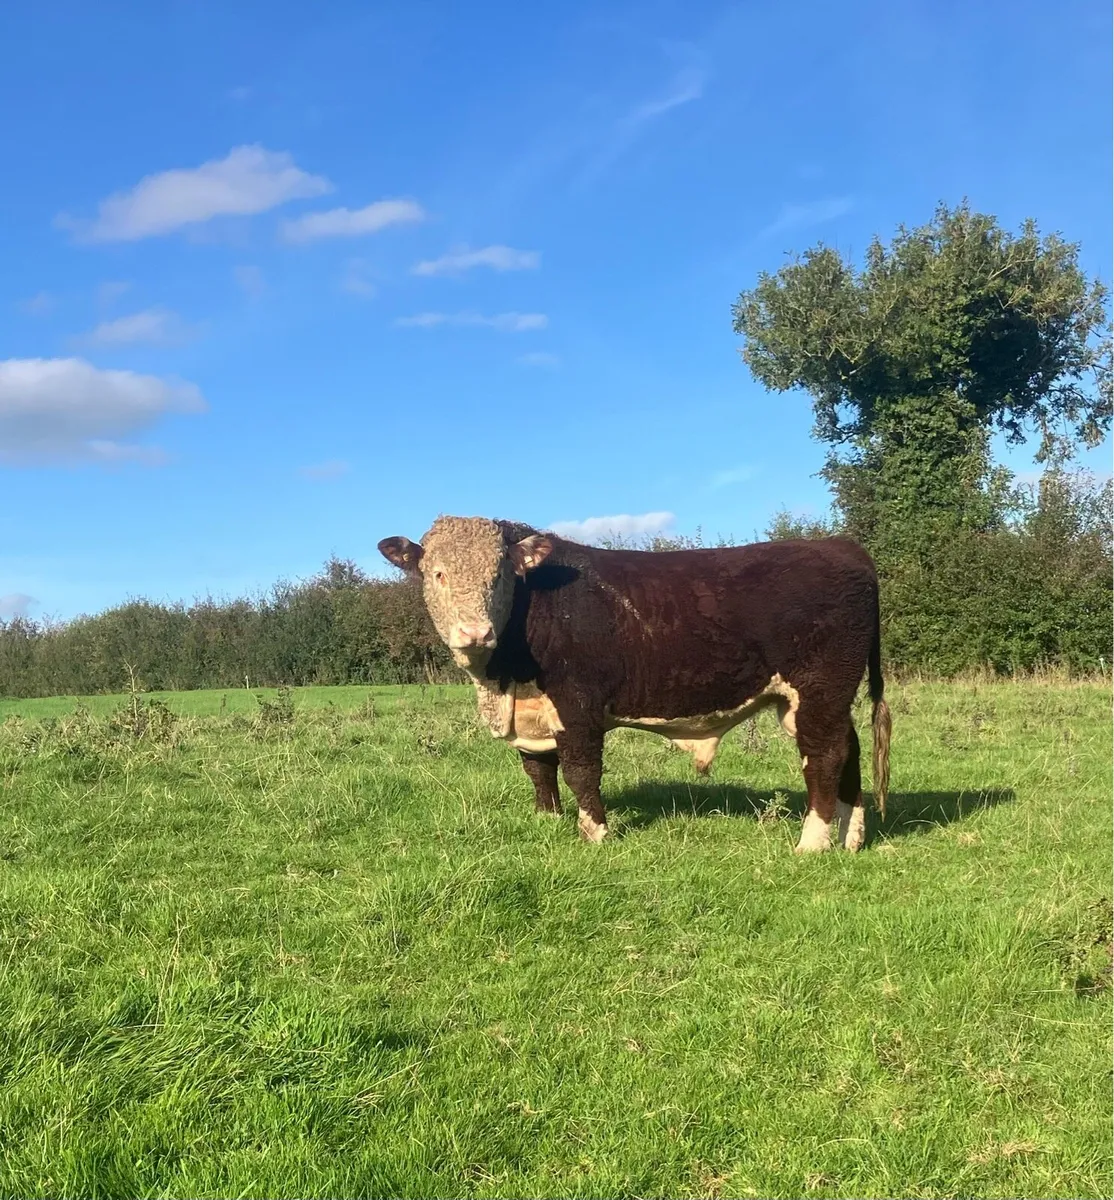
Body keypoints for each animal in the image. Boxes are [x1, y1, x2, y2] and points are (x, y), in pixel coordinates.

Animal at [378, 516, 891, 852]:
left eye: (500, 574)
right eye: (438, 574)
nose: (475, 632)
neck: (502, 680)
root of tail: (843, 546)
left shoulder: (578, 705)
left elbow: (580, 771)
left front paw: (595, 834)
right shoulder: (532, 714)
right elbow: (539, 770)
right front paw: (547, 820)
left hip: (820, 688)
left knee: (824, 756)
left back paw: (813, 843)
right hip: (811, 700)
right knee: (848, 749)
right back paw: (852, 836)